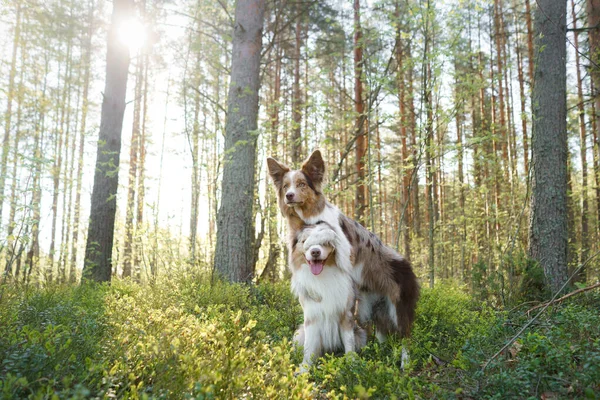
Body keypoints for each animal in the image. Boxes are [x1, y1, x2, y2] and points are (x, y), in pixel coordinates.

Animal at [290, 223, 368, 374]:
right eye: (304, 241)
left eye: (325, 242)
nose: (315, 252)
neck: (323, 276)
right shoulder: (311, 317)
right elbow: (309, 347)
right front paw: (304, 369)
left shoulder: (346, 315)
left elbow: (349, 344)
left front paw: (352, 365)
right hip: (299, 334)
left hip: (361, 335)